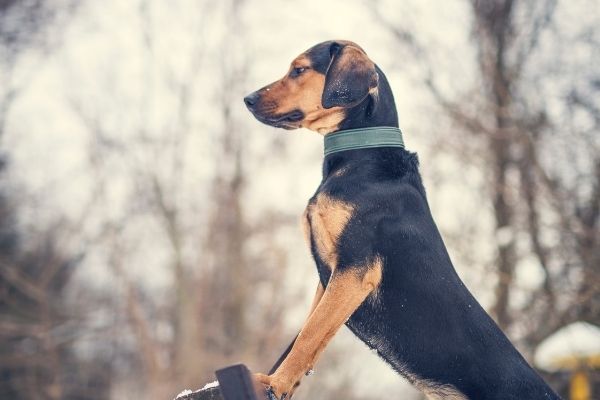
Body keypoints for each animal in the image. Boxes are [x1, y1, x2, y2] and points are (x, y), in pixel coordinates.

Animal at [241, 39, 560, 400]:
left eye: (298, 70)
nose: (247, 99)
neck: (361, 156)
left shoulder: (354, 267)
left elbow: (308, 337)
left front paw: (274, 383)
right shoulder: (329, 277)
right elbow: (311, 333)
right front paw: (281, 384)